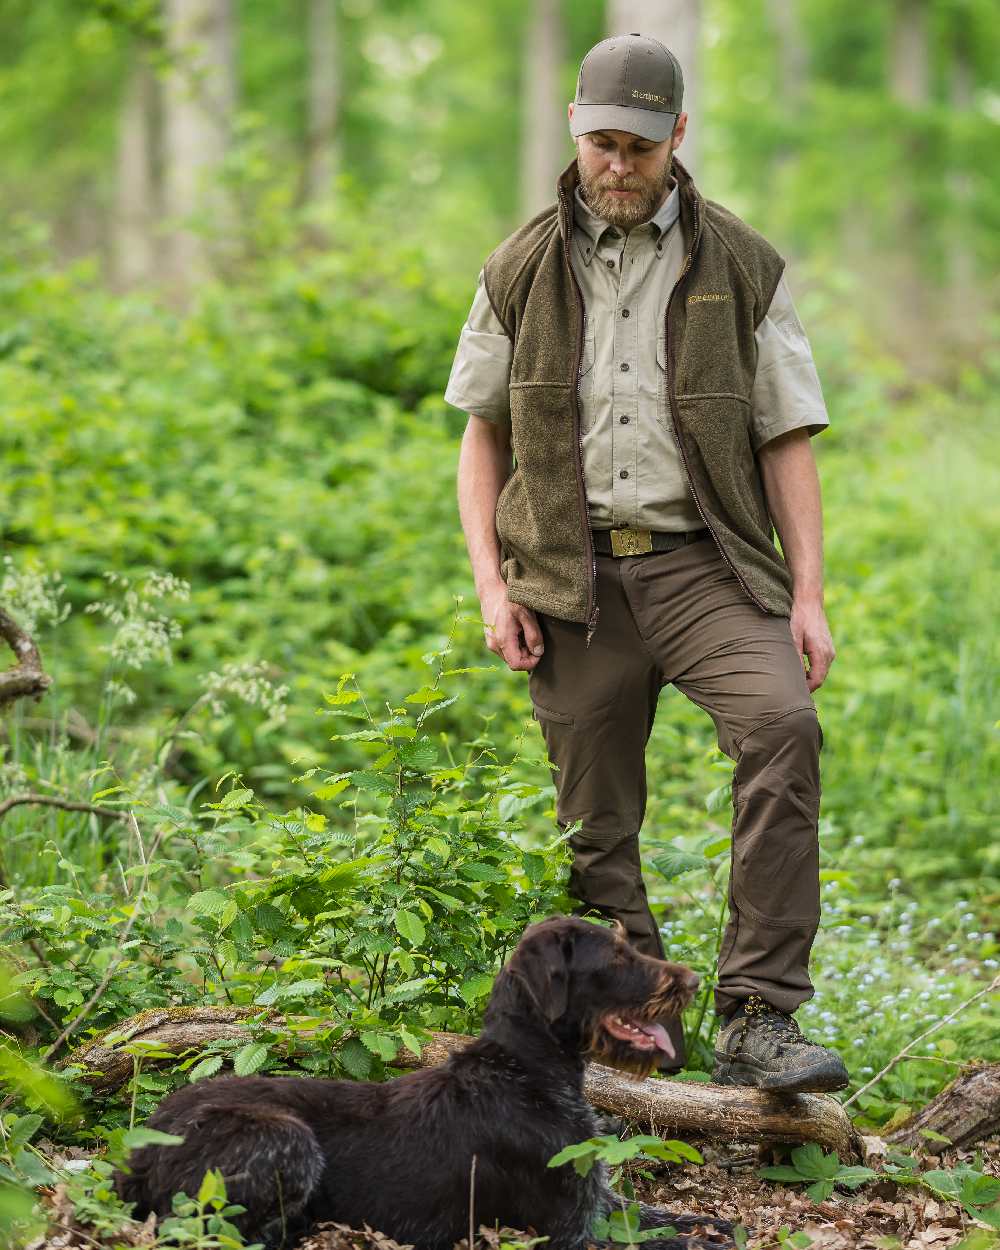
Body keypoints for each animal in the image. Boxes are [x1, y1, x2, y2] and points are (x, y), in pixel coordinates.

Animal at [117, 915, 730, 1245]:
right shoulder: (564, 1232)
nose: (696, 980)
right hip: (285, 1138)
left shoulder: (599, 1204)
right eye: (619, 955)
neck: (528, 1073)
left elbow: (688, 1223)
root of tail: (134, 1155)